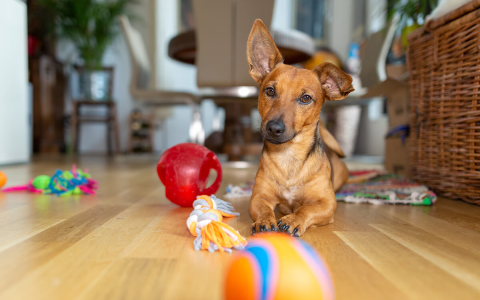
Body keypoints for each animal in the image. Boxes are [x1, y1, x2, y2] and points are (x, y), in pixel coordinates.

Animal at [248, 20, 352, 237]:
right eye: (270, 91)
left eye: (306, 98)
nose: (274, 128)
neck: (289, 156)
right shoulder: (259, 196)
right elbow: (263, 209)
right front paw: (264, 221)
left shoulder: (327, 203)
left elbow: (306, 209)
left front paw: (294, 219)